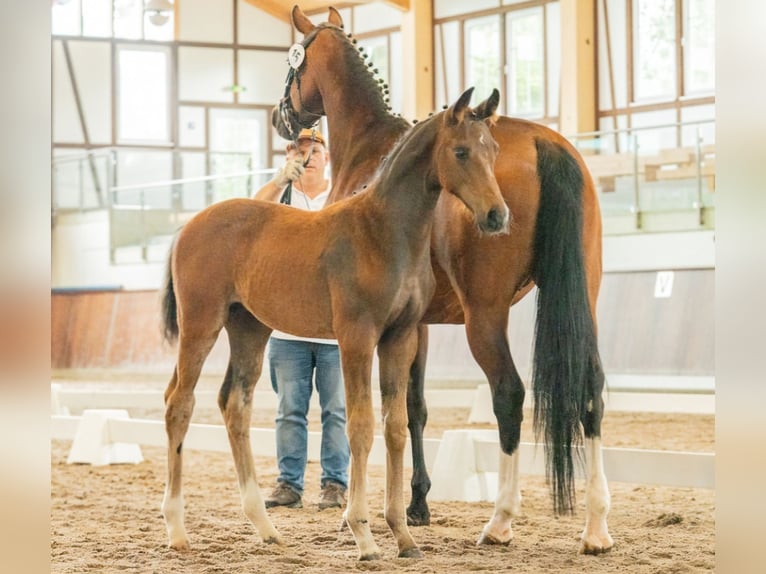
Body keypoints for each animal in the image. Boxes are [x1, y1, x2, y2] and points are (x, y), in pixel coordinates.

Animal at [160, 87, 509, 560]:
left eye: (492, 150)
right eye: (460, 151)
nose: (497, 216)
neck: (384, 233)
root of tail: (188, 227)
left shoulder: (399, 339)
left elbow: (395, 428)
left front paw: (403, 535)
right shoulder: (357, 338)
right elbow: (359, 428)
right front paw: (363, 534)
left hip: (248, 329)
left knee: (234, 405)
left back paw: (265, 528)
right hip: (201, 324)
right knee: (179, 404)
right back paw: (177, 530)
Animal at [272, 5, 613, 555]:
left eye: (292, 62)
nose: (281, 117)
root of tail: (545, 141)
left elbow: (396, 409)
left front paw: (384, 510)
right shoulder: (418, 322)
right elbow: (414, 408)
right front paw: (417, 504)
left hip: (485, 318)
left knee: (509, 395)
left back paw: (500, 520)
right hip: (585, 300)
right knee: (592, 390)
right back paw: (597, 526)